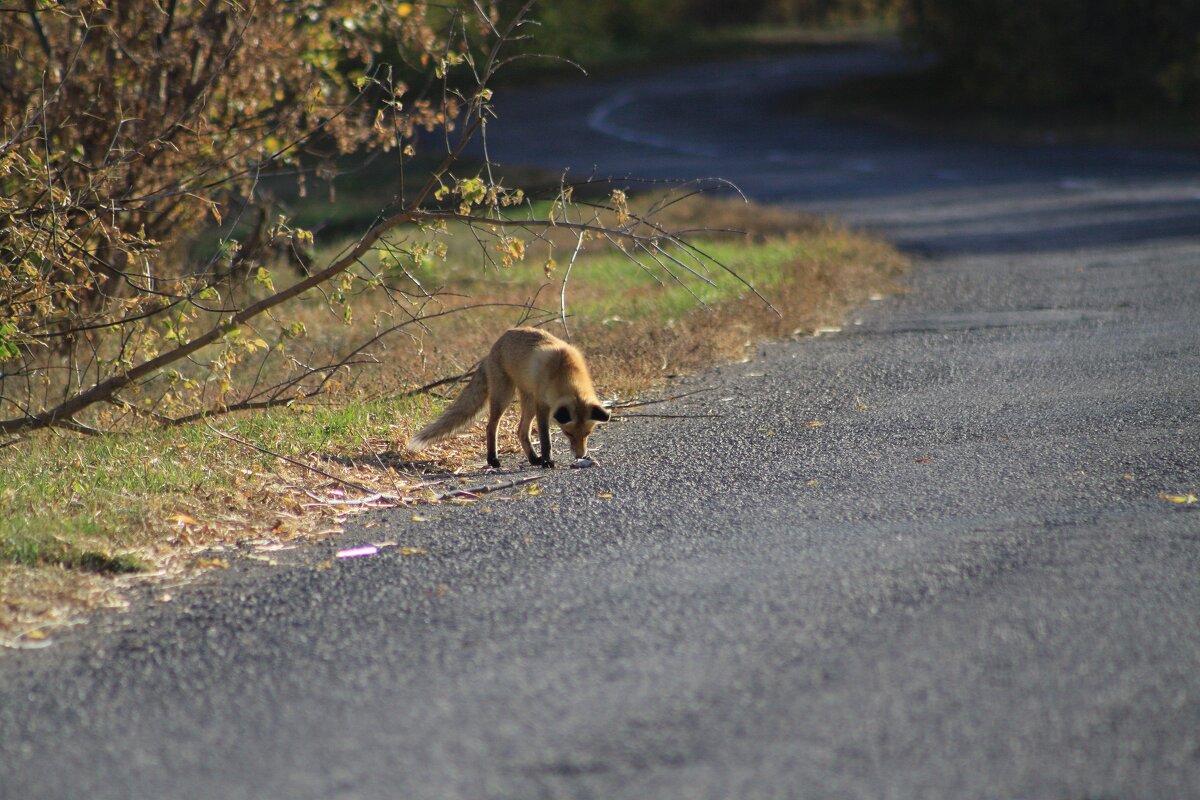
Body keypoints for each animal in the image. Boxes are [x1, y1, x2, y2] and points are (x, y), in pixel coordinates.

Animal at [408, 326, 609, 470]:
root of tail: (491, 349)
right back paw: (493, 460)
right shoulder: (543, 405)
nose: (580, 456)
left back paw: (533, 459)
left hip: (527, 401)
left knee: (521, 431)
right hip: (504, 396)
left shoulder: (543, 403)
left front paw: (544, 460)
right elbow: (546, 439)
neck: (564, 370)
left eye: (587, 433)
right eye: (568, 434)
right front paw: (547, 461)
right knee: (491, 427)